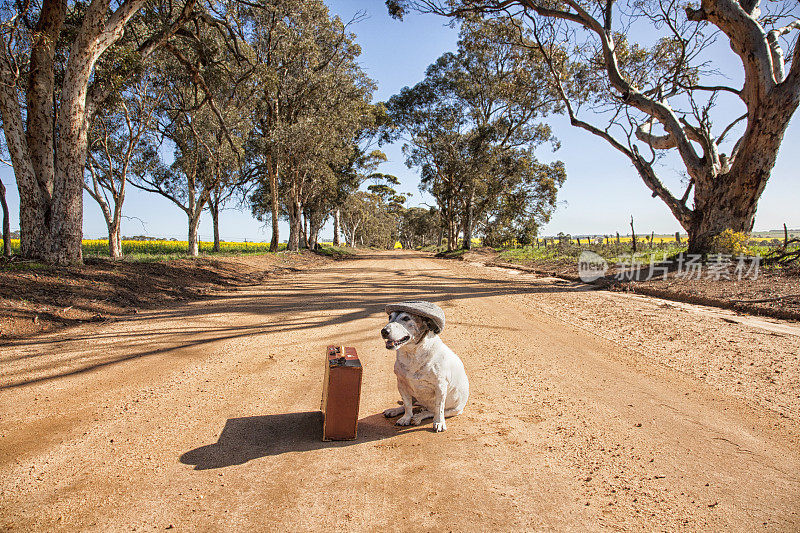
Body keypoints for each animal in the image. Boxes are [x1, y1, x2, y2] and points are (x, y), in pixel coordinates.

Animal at [382, 302, 468, 430]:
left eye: (406, 318)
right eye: (389, 317)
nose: (384, 331)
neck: (412, 355)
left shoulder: (440, 387)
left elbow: (439, 408)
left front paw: (439, 422)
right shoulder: (401, 384)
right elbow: (407, 405)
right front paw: (405, 418)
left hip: (455, 409)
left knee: (432, 411)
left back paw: (419, 416)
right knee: (410, 404)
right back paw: (394, 410)